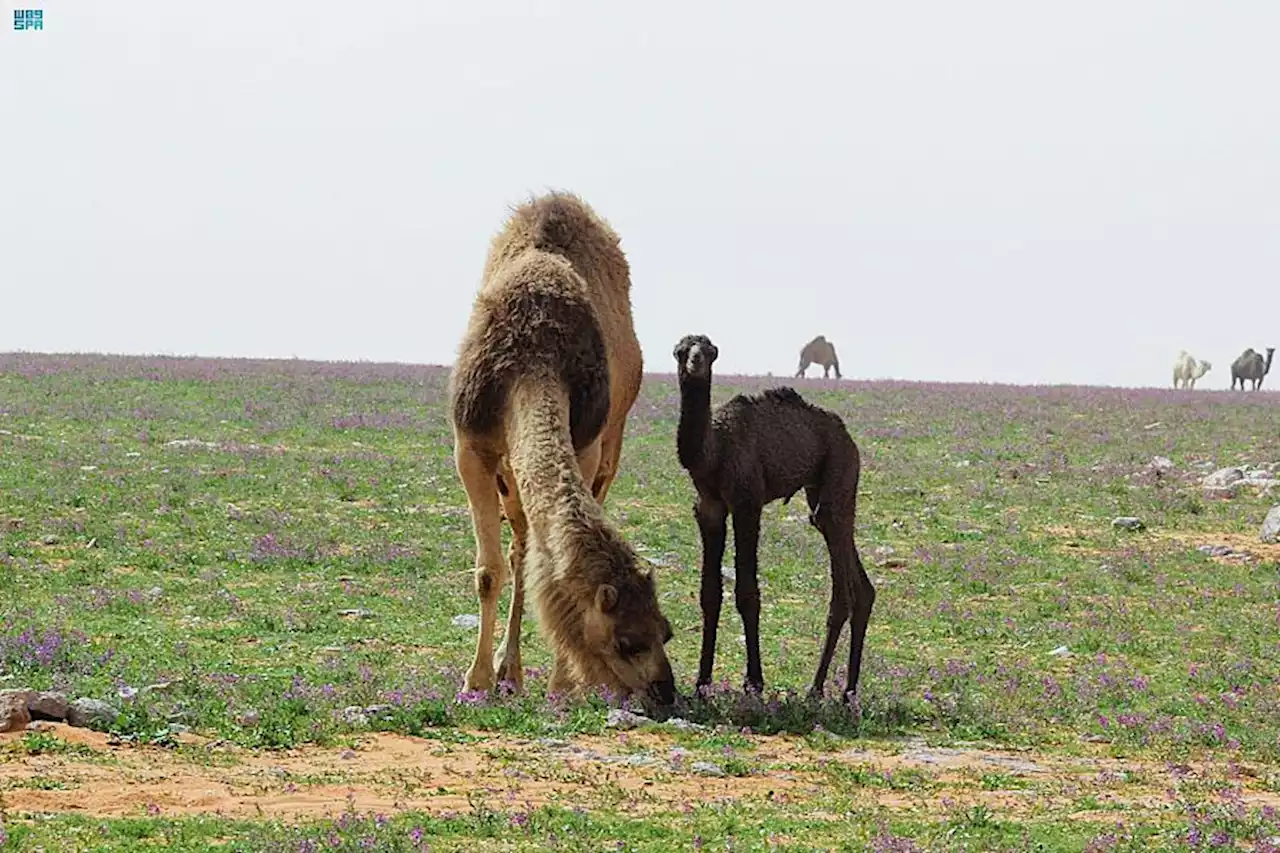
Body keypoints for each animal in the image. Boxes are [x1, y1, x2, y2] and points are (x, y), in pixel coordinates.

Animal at [448, 192, 675, 701]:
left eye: (666, 631)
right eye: (627, 641)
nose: (665, 690)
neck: (533, 360)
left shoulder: (585, 444)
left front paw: (561, 684)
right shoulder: (471, 447)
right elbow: (489, 571)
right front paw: (477, 680)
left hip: (609, 444)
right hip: (508, 474)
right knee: (519, 549)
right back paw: (507, 671)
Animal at [675, 335, 875, 701]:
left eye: (710, 351)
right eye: (681, 350)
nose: (695, 363)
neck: (715, 451)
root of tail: (849, 438)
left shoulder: (747, 503)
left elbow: (747, 593)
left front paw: (754, 682)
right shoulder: (708, 507)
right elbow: (709, 593)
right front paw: (701, 681)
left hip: (840, 474)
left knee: (842, 584)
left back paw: (817, 687)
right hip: (819, 491)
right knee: (861, 586)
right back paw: (848, 689)